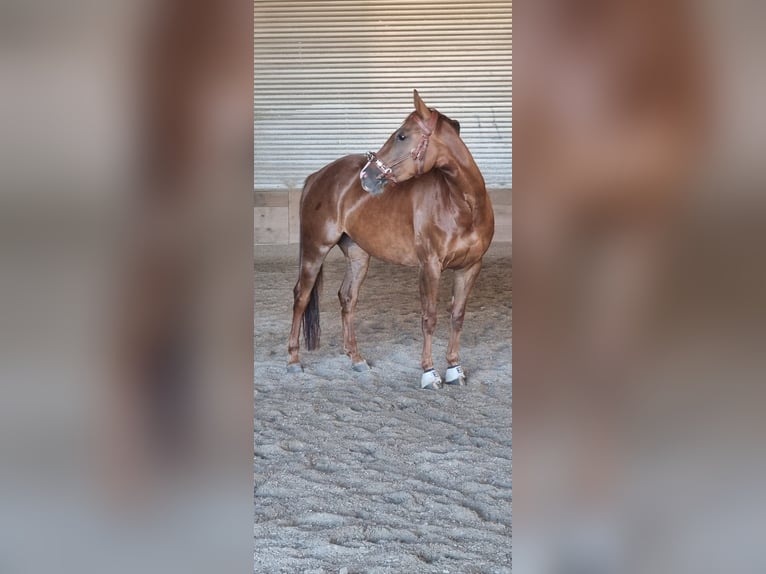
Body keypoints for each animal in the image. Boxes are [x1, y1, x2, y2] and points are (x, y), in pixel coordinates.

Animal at [287, 90, 495, 389]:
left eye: (402, 136)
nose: (367, 176)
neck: (462, 205)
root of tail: (317, 176)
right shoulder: (430, 266)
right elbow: (429, 318)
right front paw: (429, 373)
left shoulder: (470, 267)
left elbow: (457, 317)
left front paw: (455, 369)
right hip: (315, 249)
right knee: (301, 297)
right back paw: (293, 361)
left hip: (358, 255)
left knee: (347, 298)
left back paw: (356, 359)